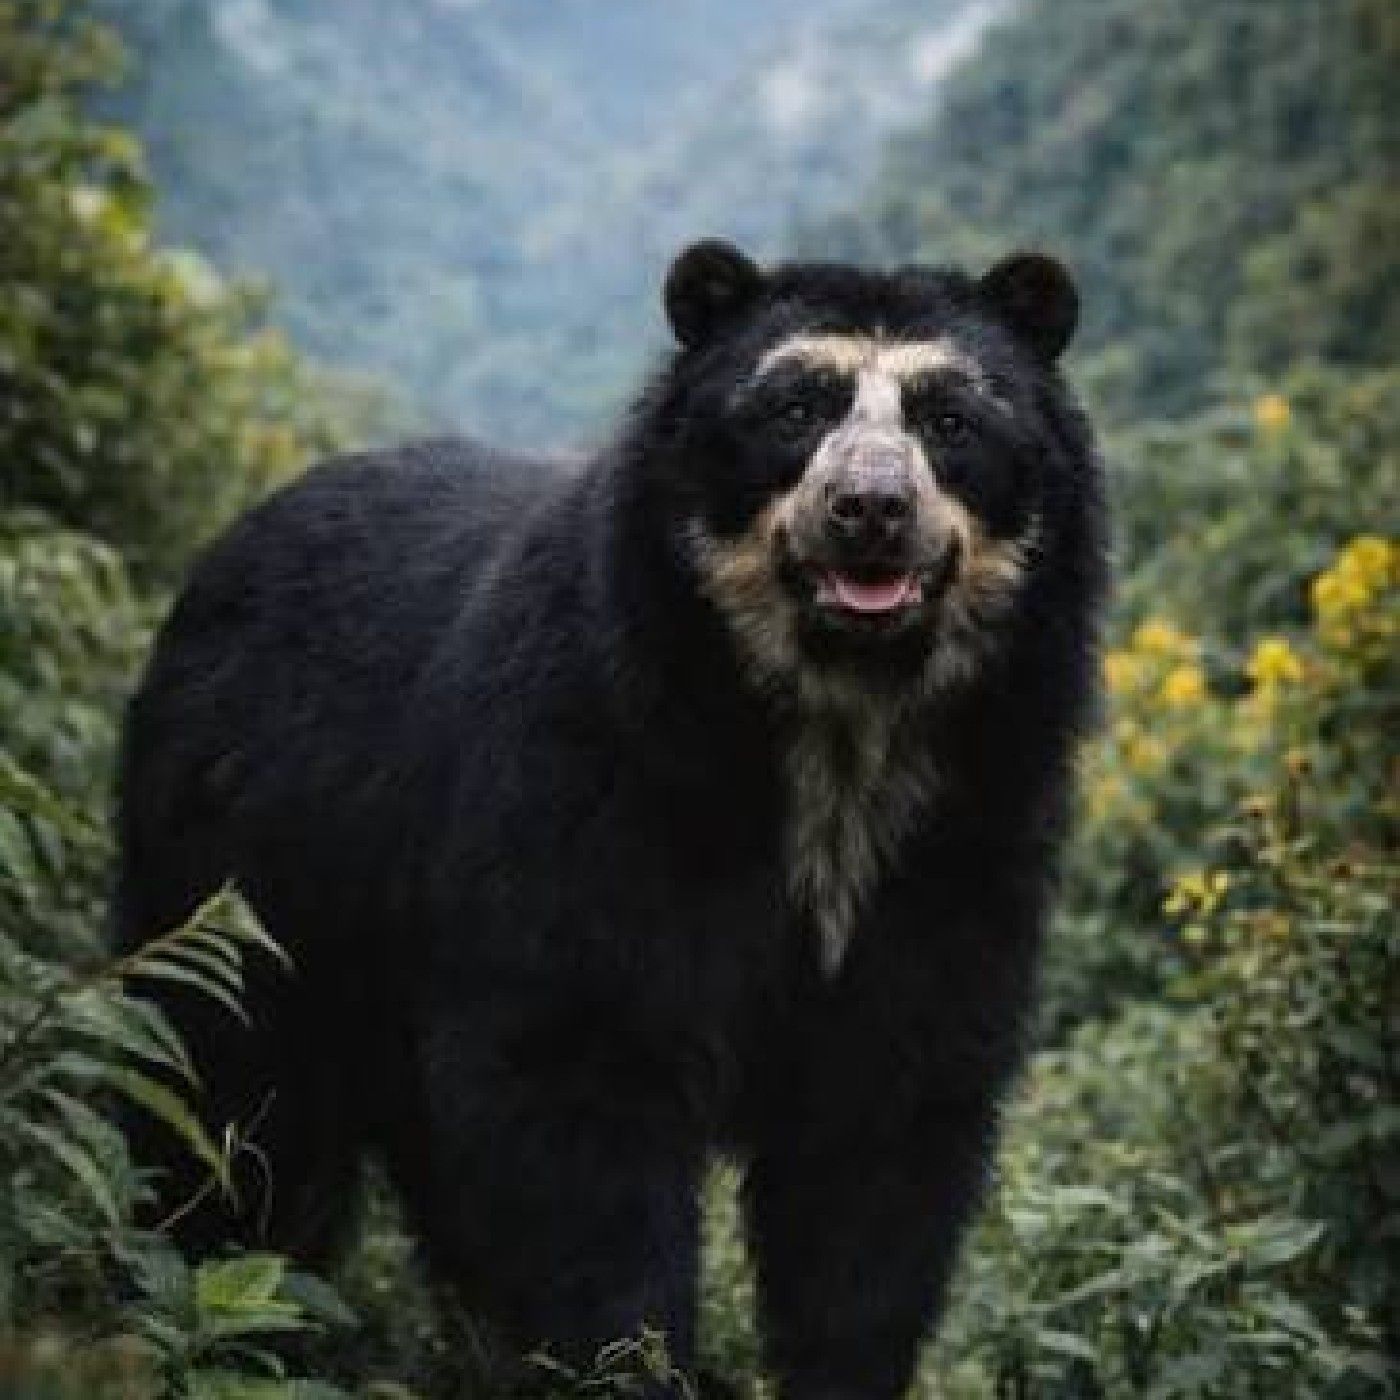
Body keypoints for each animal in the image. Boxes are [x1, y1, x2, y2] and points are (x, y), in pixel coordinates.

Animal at [113, 239, 1106, 1398]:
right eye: (794, 408)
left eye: (949, 418)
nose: (869, 509)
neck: (836, 734)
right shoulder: (593, 779)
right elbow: (581, 1092)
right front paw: (624, 1361)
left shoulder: (966, 836)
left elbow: (883, 1135)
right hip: (238, 866)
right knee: (223, 1093)